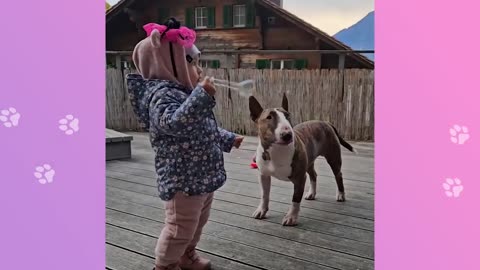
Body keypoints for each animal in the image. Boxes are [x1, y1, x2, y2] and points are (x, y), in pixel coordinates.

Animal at [249, 94, 354, 226]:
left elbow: (295, 198)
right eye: (269, 117)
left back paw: (340, 195)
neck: (277, 151)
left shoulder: (299, 178)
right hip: (309, 161)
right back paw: (311, 193)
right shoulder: (263, 175)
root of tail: (326, 122)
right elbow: (264, 195)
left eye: (287, 115)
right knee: (313, 174)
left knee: (338, 175)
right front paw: (261, 210)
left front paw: (291, 217)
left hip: (333, 157)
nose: (287, 135)